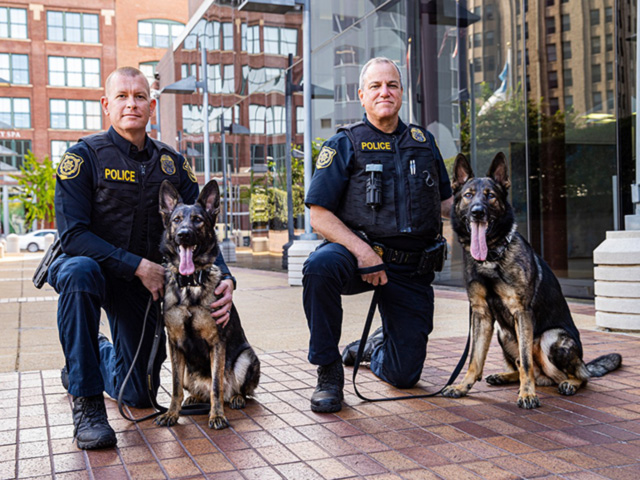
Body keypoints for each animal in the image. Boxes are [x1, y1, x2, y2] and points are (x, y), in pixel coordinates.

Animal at [155, 179, 260, 428]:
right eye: (176, 220)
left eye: (197, 220)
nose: (184, 234)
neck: (190, 283)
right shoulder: (174, 344)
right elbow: (175, 388)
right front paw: (172, 413)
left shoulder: (216, 343)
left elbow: (216, 386)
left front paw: (217, 415)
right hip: (186, 370)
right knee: (196, 390)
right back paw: (194, 398)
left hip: (246, 358)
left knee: (233, 390)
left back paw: (237, 398)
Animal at [444, 154, 620, 408]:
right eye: (468, 195)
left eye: (490, 195)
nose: (477, 212)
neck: (491, 257)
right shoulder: (481, 314)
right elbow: (475, 359)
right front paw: (461, 386)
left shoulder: (522, 313)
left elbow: (526, 360)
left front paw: (527, 394)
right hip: (504, 334)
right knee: (521, 367)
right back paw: (505, 376)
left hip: (550, 338)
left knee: (577, 376)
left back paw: (568, 383)